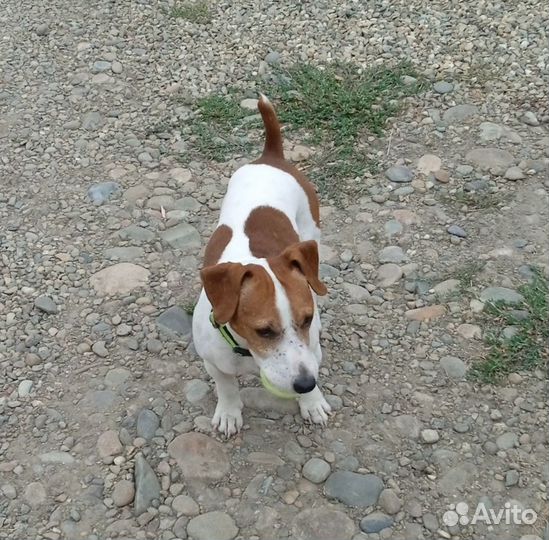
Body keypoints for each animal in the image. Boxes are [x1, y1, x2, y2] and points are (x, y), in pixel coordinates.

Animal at [193, 95, 330, 436]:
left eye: (307, 319)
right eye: (264, 331)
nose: (305, 384)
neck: (247, 350)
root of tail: (271, 156)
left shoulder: (312, 352)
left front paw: (312, 402)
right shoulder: (213, 363)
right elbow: (227, 387)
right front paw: (229, 412)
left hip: (311, 231)